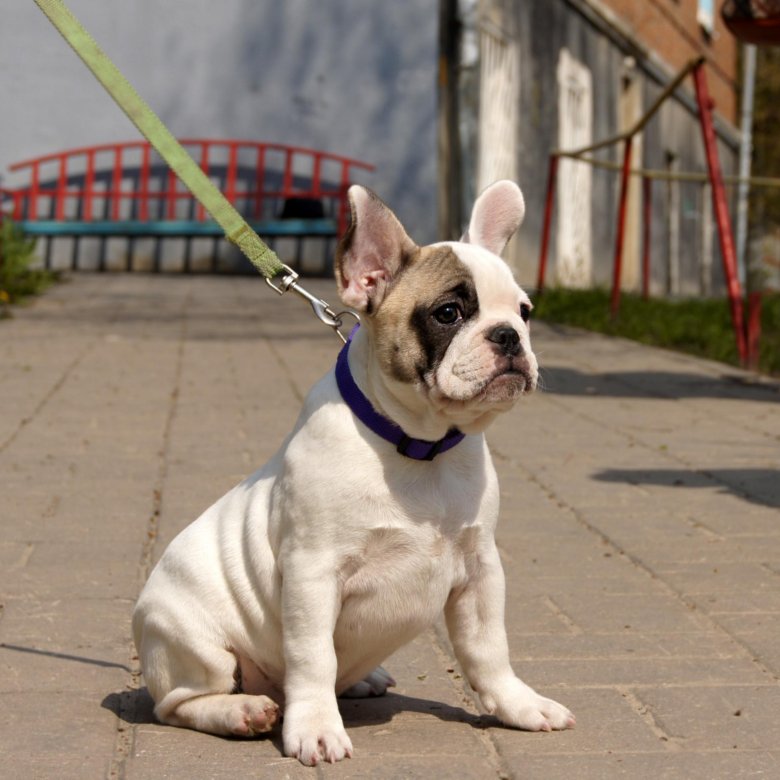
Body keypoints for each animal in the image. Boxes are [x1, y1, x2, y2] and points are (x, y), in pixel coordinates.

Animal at [133, 180, 572, 764]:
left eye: (524, 311)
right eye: (449, 312)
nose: (508, 336)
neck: (420, 447)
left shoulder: (481, 569)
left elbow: (488, 648)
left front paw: (519, 705)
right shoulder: (313, 573)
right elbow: (313, 656)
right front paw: (317, 728)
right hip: (191, 640)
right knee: (181, 703)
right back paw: (241, 710)